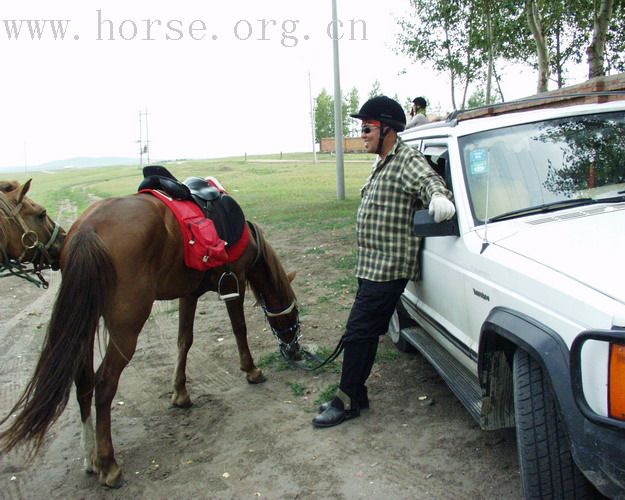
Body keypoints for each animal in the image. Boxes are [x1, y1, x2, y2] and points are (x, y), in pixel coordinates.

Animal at [0, 188, 302, 488]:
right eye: (296, 313)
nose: (295, 351)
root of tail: (87, 229)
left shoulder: (189, 293)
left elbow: (184, 340)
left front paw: (180, 393)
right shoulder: (234, 280)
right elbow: (239, 328)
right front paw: (251, 370)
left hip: (86, 321)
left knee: (83, 380)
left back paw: (91, 458)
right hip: (126, 329)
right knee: (104, 383)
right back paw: (109, 465)